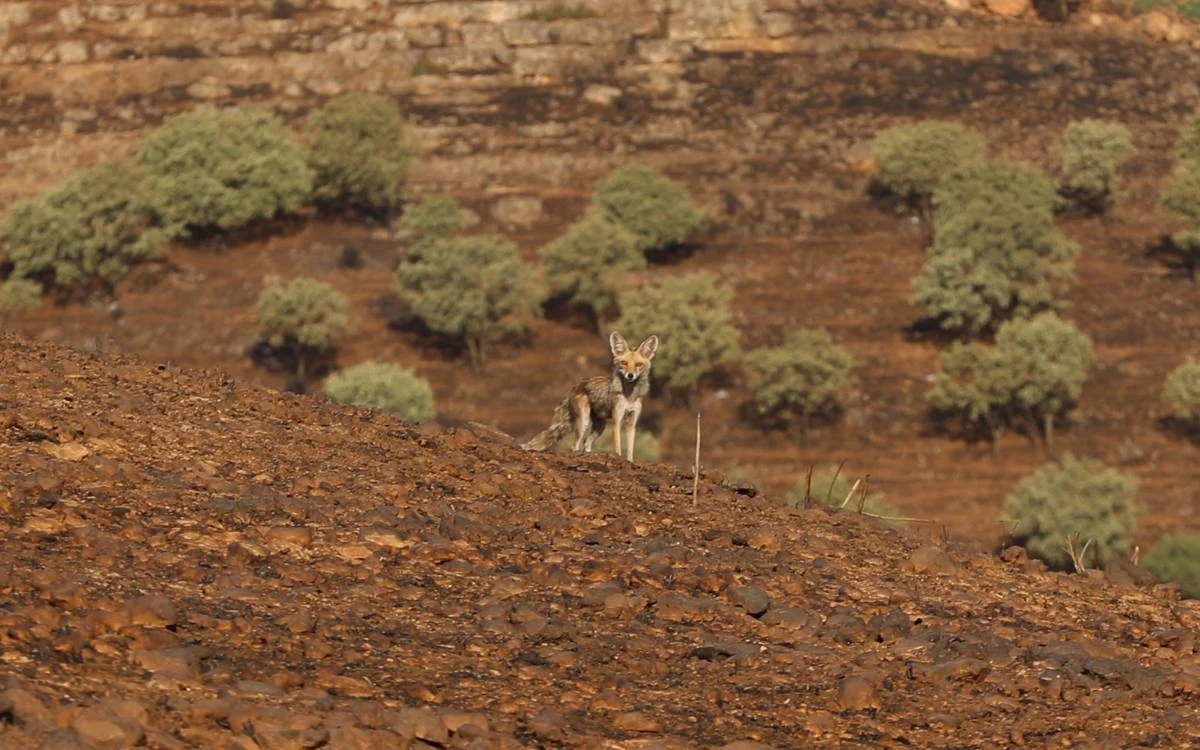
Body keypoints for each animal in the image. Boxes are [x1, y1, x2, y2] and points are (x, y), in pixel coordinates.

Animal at [523, 331, 662, 458]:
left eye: (639, 364)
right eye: (624, 363)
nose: (630, 376)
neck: (629, 397)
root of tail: (576, 385)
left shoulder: (632, 424)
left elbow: (630, 452)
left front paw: (629, 462)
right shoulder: (617, 421)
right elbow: (617, 448)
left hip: (600, 427)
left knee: (586, 444)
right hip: (584, 422)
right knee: (575, 445)